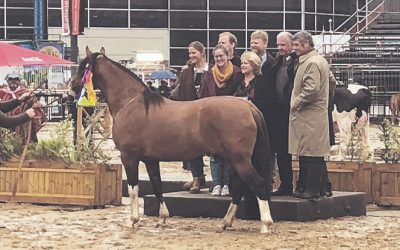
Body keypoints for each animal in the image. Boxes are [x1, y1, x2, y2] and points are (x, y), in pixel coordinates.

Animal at [70, 47, 276, 233]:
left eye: (82, 67)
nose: (72, 87)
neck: (131, 103)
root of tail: (248, 106)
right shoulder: (151, 160)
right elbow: (157, 186)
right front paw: (162, 218)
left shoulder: (129, 157)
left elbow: (133, 188)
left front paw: (132, 220)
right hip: (236, 160)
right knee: (240, 188)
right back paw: (225, 223)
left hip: (240, 159)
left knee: (256, 184)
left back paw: (265, 224)